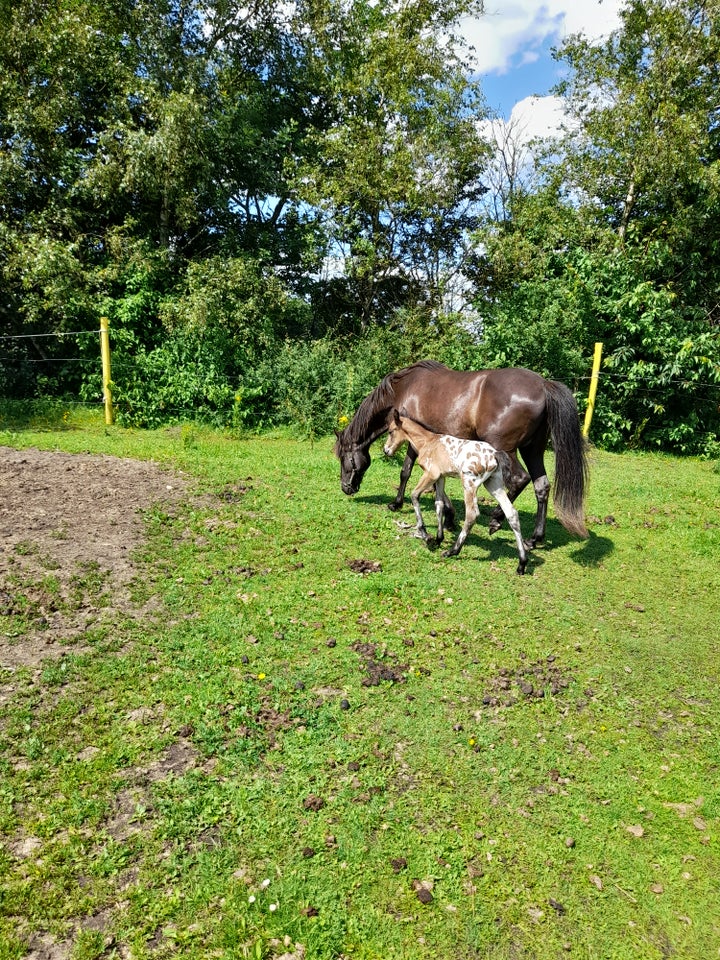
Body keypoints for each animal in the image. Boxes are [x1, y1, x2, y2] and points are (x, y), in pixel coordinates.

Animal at [382, 408, 528, 572]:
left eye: (390, 431)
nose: (386, 450)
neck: (428, 442)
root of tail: (495, 454)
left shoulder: (431, 474)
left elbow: (414, 495)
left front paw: (426, 535)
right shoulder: (440, 477)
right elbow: (439, 504)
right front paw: (438, 539)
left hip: (469, 483)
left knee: (471, 514)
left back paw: (452, 551)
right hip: (493, 484)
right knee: (511, 513)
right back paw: (522, 563)